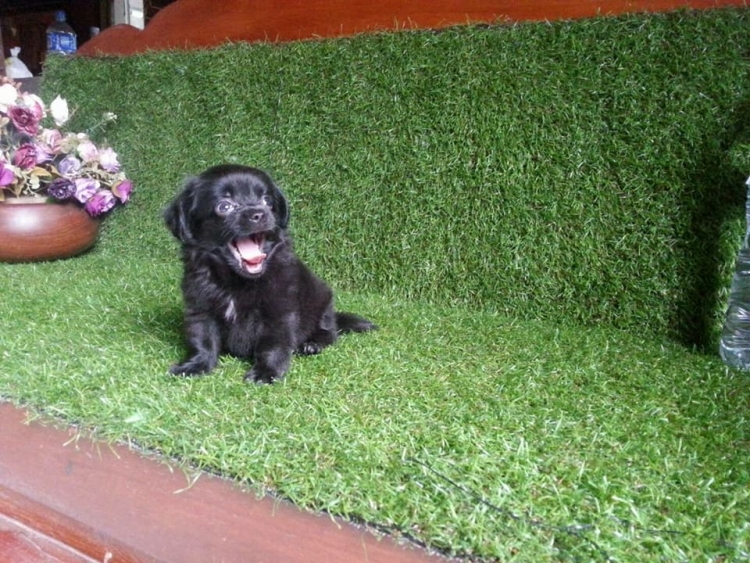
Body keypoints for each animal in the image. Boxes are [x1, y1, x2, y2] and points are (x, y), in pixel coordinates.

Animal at [164, 164, 376, 383]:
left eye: (266, 201)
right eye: (224, 206)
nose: (259, 213)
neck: (236, 282)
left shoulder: (279, 312)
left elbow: (272, 345)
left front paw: (266, 373)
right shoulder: (200, 307)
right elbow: (203, 339)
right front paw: (195, 365)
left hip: (322, 302)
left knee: (329, 332)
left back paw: (312, 344)